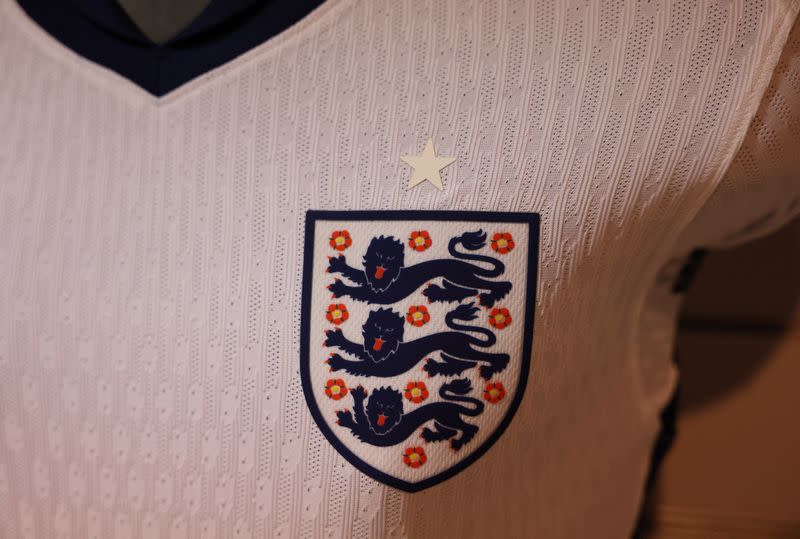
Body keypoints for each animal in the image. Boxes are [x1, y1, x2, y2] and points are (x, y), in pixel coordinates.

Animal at [324, 304, 506, 380]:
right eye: (376, 325)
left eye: (390, 330)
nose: (381, 334)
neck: (383, 349)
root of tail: (462, 335)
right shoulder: (370, 354)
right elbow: (355, 348)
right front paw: (337, 338)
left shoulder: (378, 366)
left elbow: (356, 365)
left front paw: (338, 361)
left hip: (458, 349)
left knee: (491, 357)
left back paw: (492, 368)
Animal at [326, 230, 510, 310]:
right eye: (378, 254)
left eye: (391, 258)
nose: (383, 265)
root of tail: (464, 264)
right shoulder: (371, 281)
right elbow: (357, 275)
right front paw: (340, 265)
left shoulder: (381, 293)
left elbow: (357, 290)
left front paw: (340, 288)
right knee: (470, 291)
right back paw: (438, 292)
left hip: (459, 276)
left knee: (501, 284)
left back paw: (490, 298)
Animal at [334, 378, 484, 450]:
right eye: (378, 404)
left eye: (391, 406)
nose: (383, 410)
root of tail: (453, 405)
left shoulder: (377, 434)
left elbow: (359, 421)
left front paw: (346, 417)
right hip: (440, 420)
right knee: (452, 431)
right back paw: (431, 435)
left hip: (447, 418)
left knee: (471, 428)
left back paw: (458, 442)